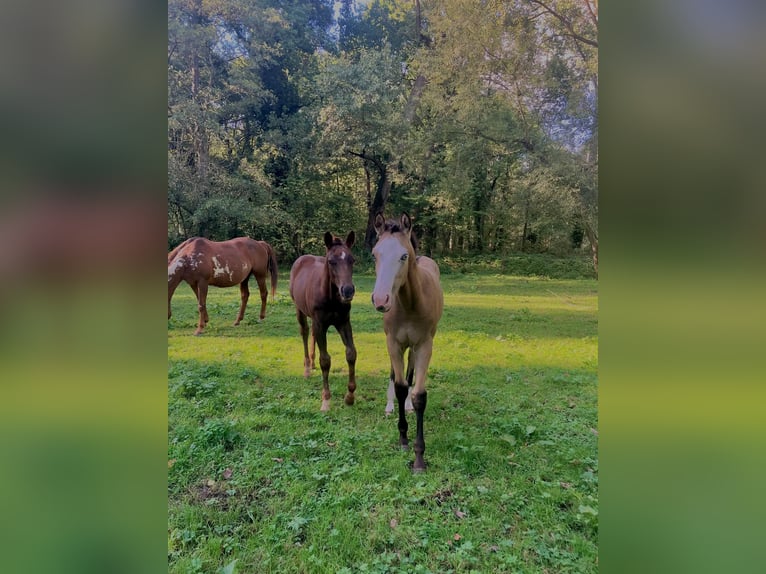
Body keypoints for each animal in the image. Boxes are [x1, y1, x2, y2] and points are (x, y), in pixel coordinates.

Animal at [290, 231, 357, 411]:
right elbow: (325, 360)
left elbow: (351, 353)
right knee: (305, 332)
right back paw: (307, 368)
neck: (332, 297)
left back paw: (312, 364)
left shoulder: (343, 322)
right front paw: (326, 400)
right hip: (300, 310)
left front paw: (350, 396)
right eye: (331, 261)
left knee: (311, 334)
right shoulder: (321, 324)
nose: (348, 290)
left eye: (352, 260)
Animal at [371, 213, 443, 472]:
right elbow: (401, 386)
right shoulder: (393, 343)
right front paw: (402, 438)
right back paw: (390, 405)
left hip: (415, 346)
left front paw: (419, 458)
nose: (381, 299)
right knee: (397, 375)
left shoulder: (424, 346)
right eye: (374, 254)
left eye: (403, 256)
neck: (410, 303)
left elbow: (419, 395)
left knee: (411, 373)